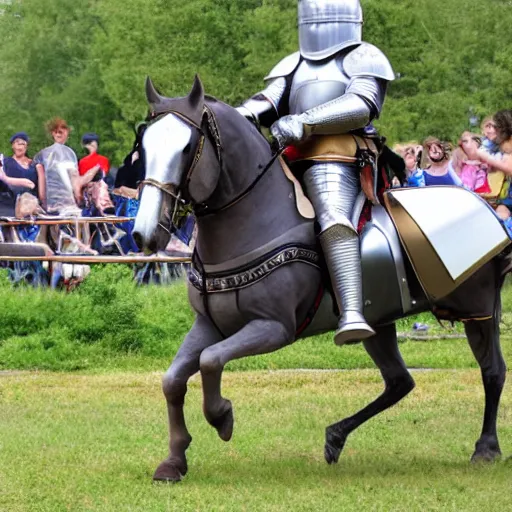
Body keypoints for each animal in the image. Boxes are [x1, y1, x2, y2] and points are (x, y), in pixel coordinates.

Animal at [133, 75, 508, 480]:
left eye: (187, 147)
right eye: (144, 147)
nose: (146, 233)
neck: (256, 220)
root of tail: (491, 212)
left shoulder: (273, 328)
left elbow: (211, 361)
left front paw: (222, 417)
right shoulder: (209, 325)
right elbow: (173, 379)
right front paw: (174, 460)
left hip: (478, 309)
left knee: (492, 371)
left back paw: (486, 448)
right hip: (379, 323)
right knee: (399, 381)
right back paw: (335, 437)